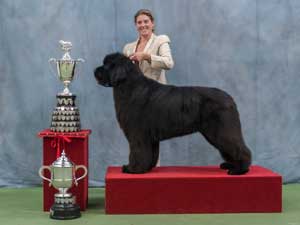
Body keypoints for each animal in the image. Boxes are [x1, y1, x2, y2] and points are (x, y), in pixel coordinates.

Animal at [94, 53, 251, 176]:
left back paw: (239, 170)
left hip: (221, 130)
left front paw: (133, 169)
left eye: (107, 65)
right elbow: (150, 154)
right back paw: (231, 165)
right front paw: (147, 168)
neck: (129, 86)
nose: (95, 70)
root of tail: (230, 98)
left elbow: (137, 151)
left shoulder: (137, 134)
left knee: (238, 147)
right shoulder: (149, 137)